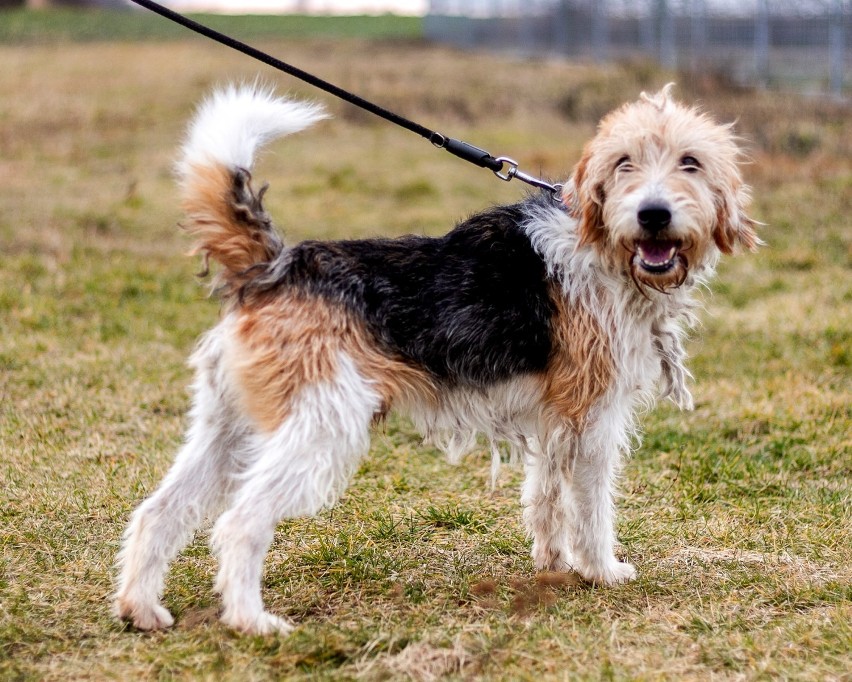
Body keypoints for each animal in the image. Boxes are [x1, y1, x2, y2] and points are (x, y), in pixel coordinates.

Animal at [113, 83, 760, 632]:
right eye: (624, 162)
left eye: (691, 162)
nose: (654, 214)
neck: (603, 246)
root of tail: (273, 266)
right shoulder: (592, 417)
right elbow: (591, 507)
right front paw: (600, 571)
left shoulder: (556, 420)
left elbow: (547, 498)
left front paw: (553, 564)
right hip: (320, 430)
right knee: (239, 524)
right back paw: (253, 622)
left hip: (228, 430)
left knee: (158, 513)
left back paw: (142, 610)